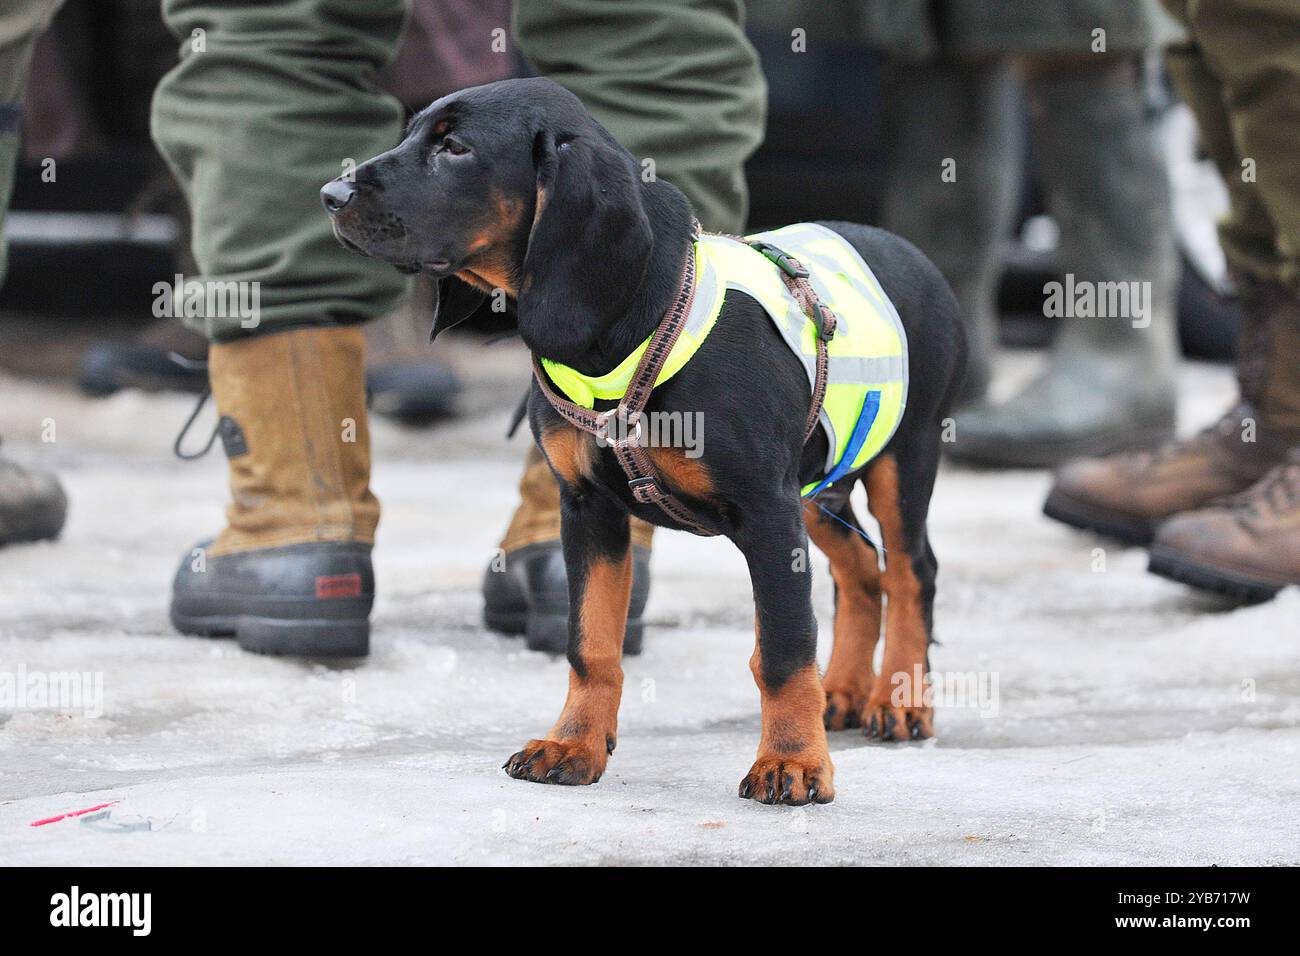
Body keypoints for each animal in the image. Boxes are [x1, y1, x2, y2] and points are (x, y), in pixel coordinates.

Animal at [322, 78, 967, 806]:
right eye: (411, 134)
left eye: (455, 148)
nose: (330, 195)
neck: (641, 323)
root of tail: (910, 253)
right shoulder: (589, 508)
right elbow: (591, 642)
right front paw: (573, 743)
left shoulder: (767, 511)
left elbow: (781, 647)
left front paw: (793, 762)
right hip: (814, 486)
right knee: (861, 569)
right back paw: (846, 692)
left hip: (901, 457)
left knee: (911, 572)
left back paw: (900, 701)